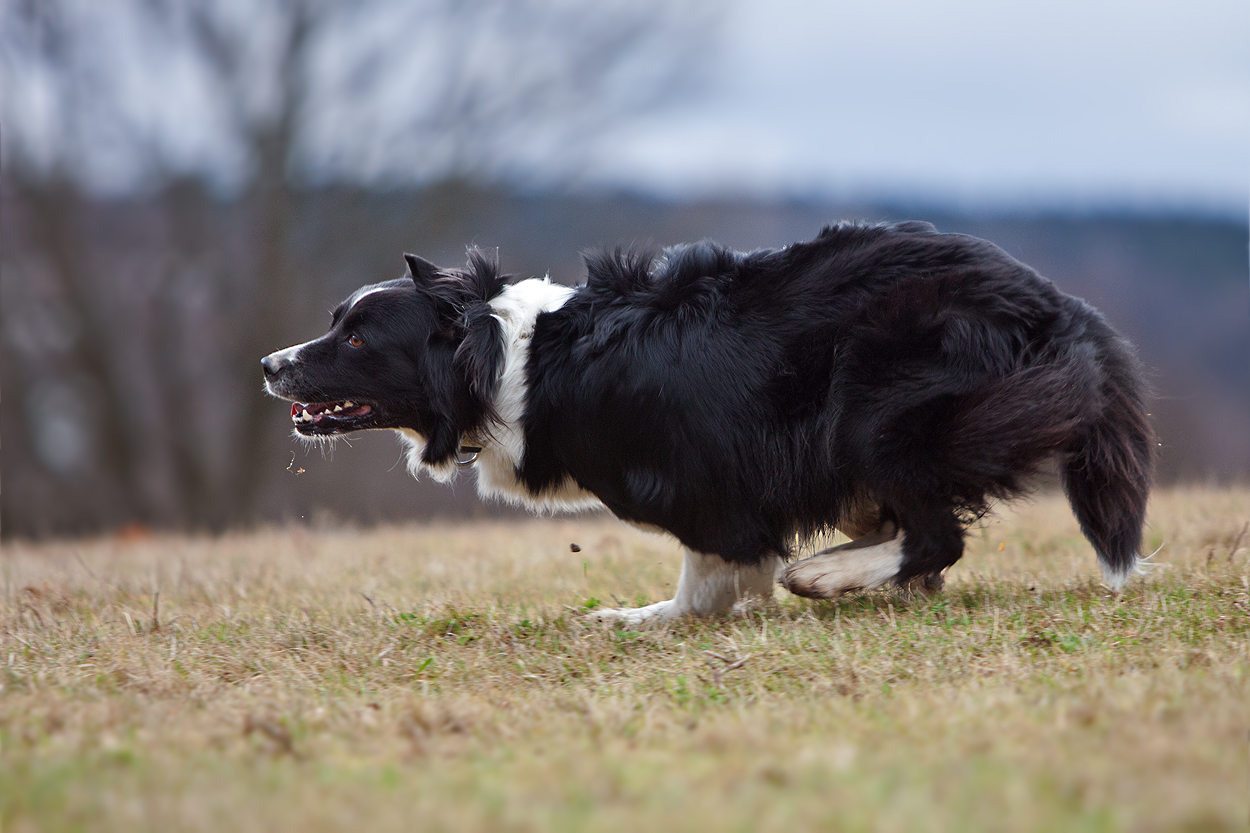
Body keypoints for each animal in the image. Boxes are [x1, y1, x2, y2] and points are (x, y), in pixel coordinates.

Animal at [261, 223, 1150, 620]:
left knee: (938, 531)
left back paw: (829, 575)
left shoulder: (707, 480)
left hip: (876, 406)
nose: (271, 364)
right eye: (337, 322)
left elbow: (715, 567)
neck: (507, 356)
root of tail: (1059, 308)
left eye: (357, 338)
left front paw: (653, 617)